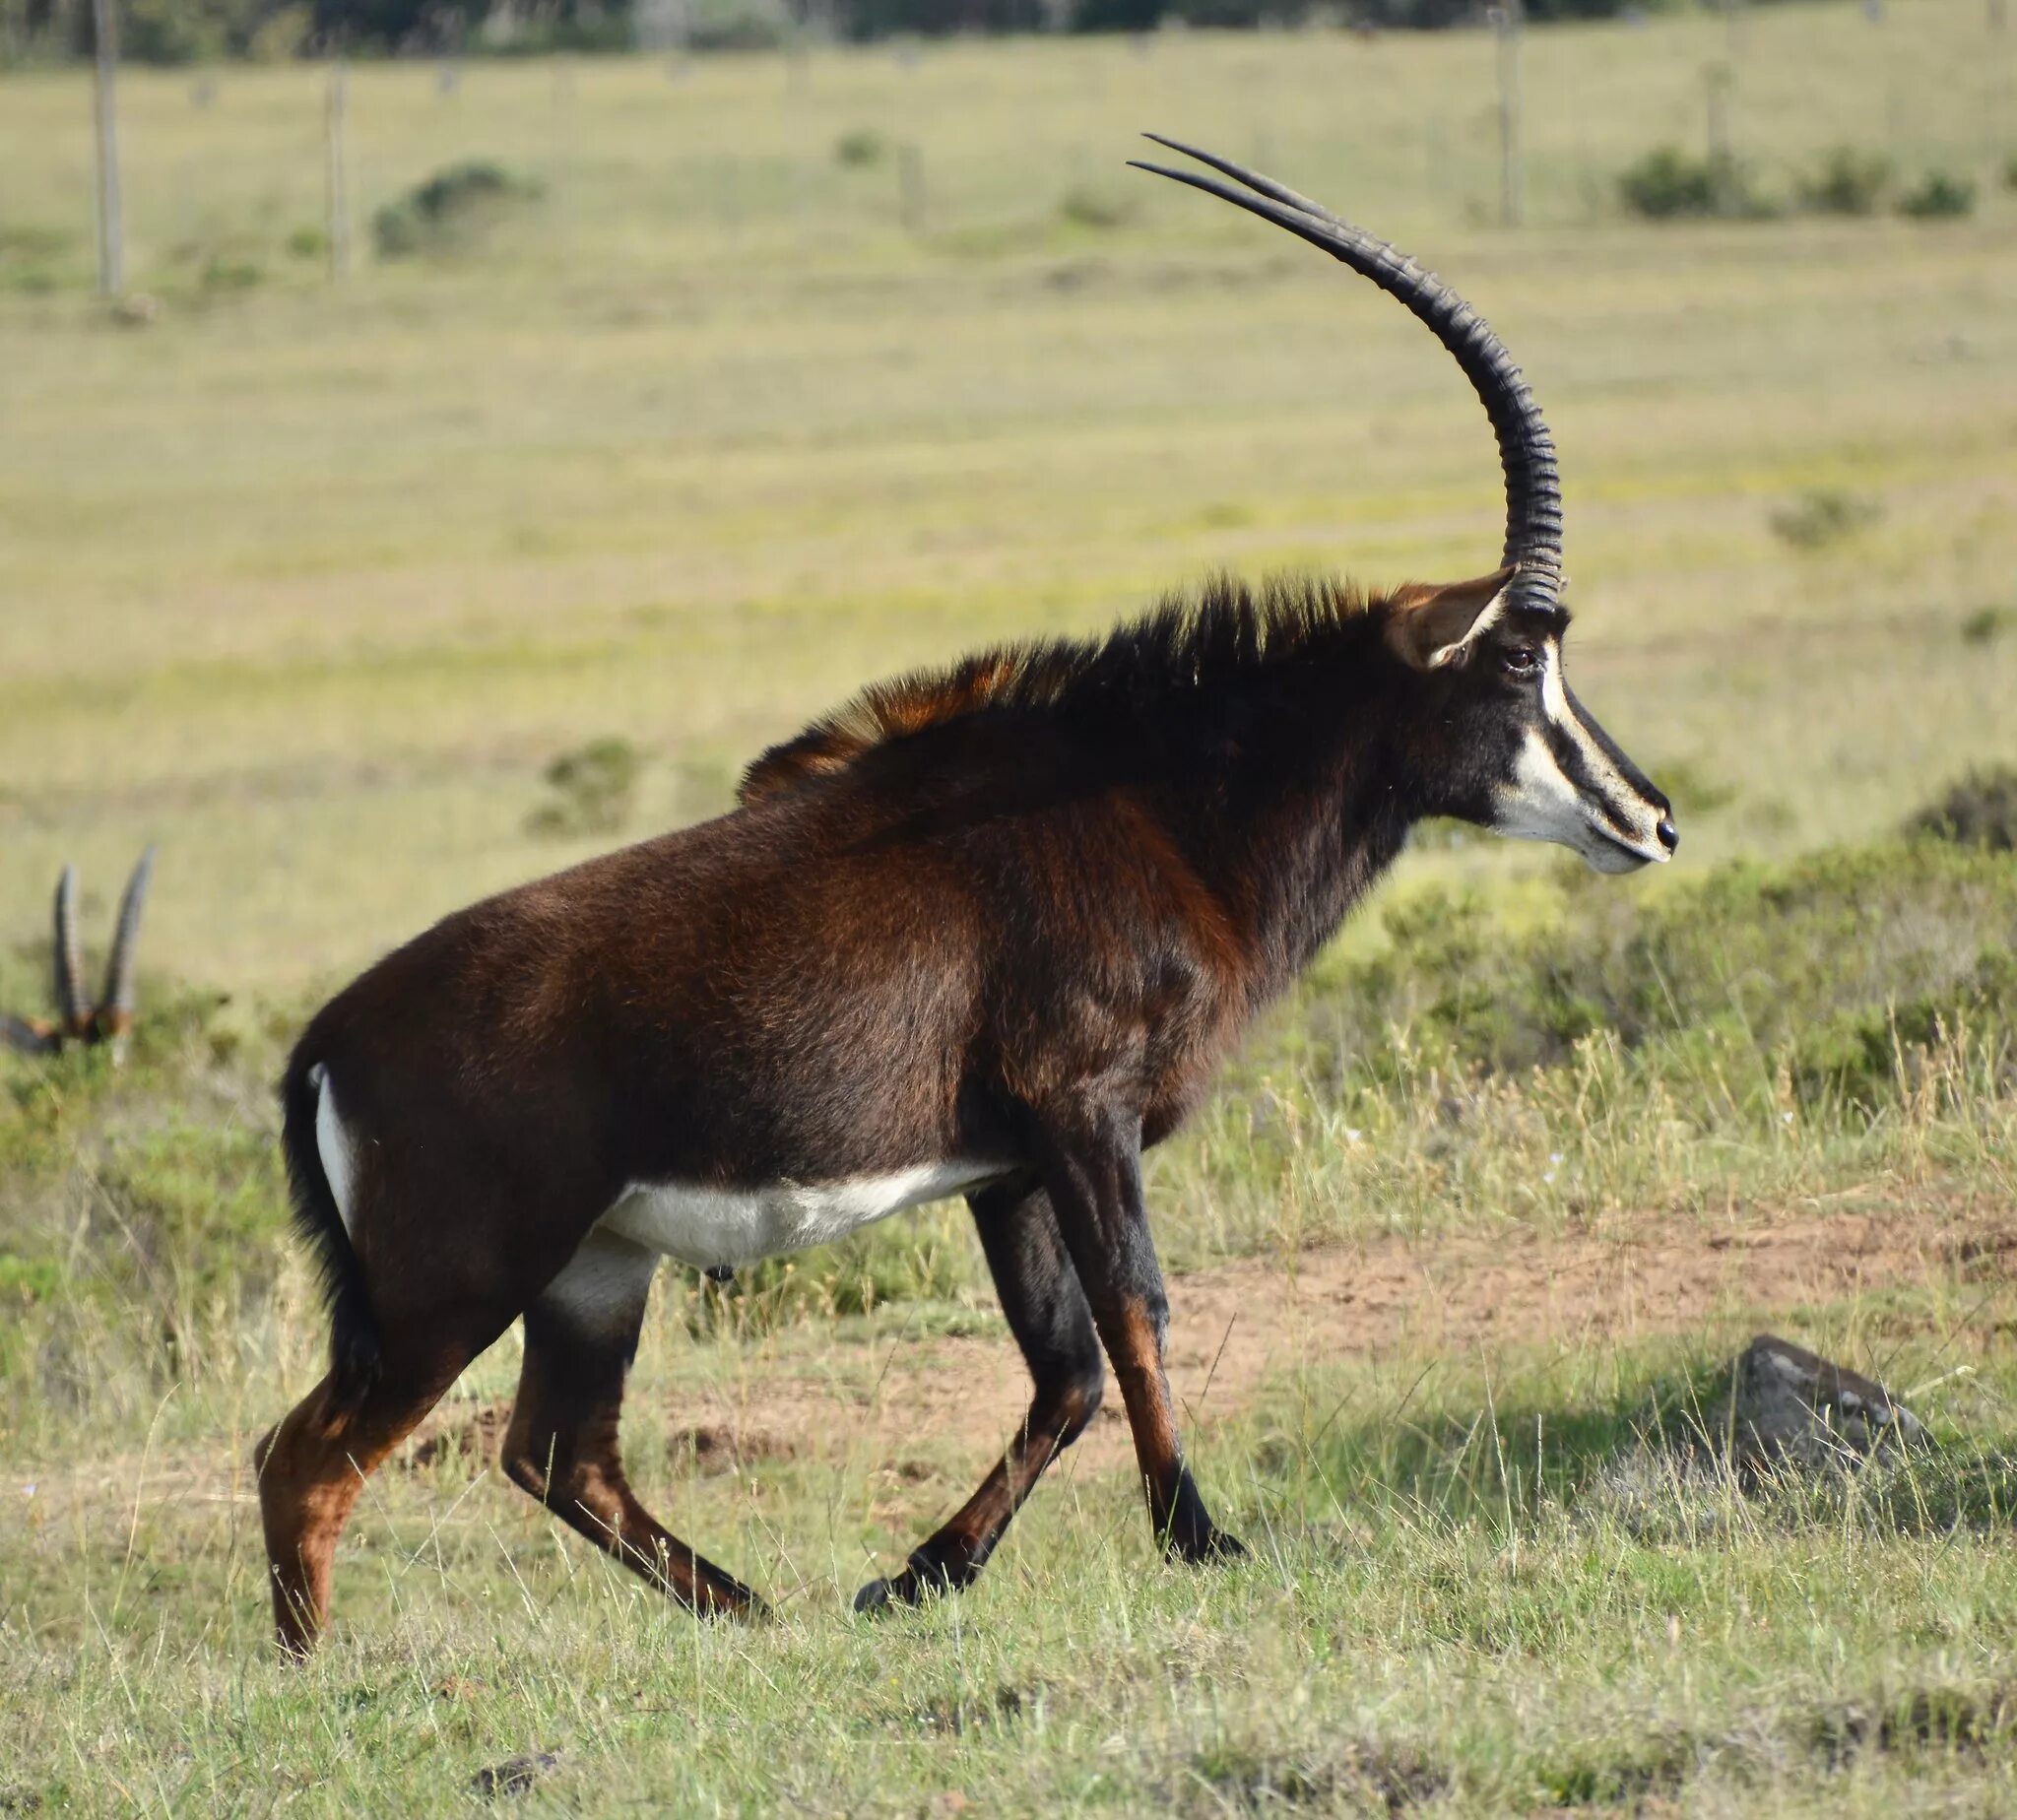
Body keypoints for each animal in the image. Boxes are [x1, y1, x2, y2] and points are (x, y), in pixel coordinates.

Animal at [252, 135, 1677, 1662]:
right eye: (1522, 656)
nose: (1649, 818)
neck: (1163, 804)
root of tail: (326, 1045)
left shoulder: (1007, 1165)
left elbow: (1065, 1370)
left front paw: (919, 1573)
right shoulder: (1081, 1113)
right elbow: (1136, 1315)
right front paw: (1199, 1539)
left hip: (595, 1265)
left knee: (557, 1452)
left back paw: (753, 1609)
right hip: (459, 1282)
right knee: (312, 1458)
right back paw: (322, 1672)